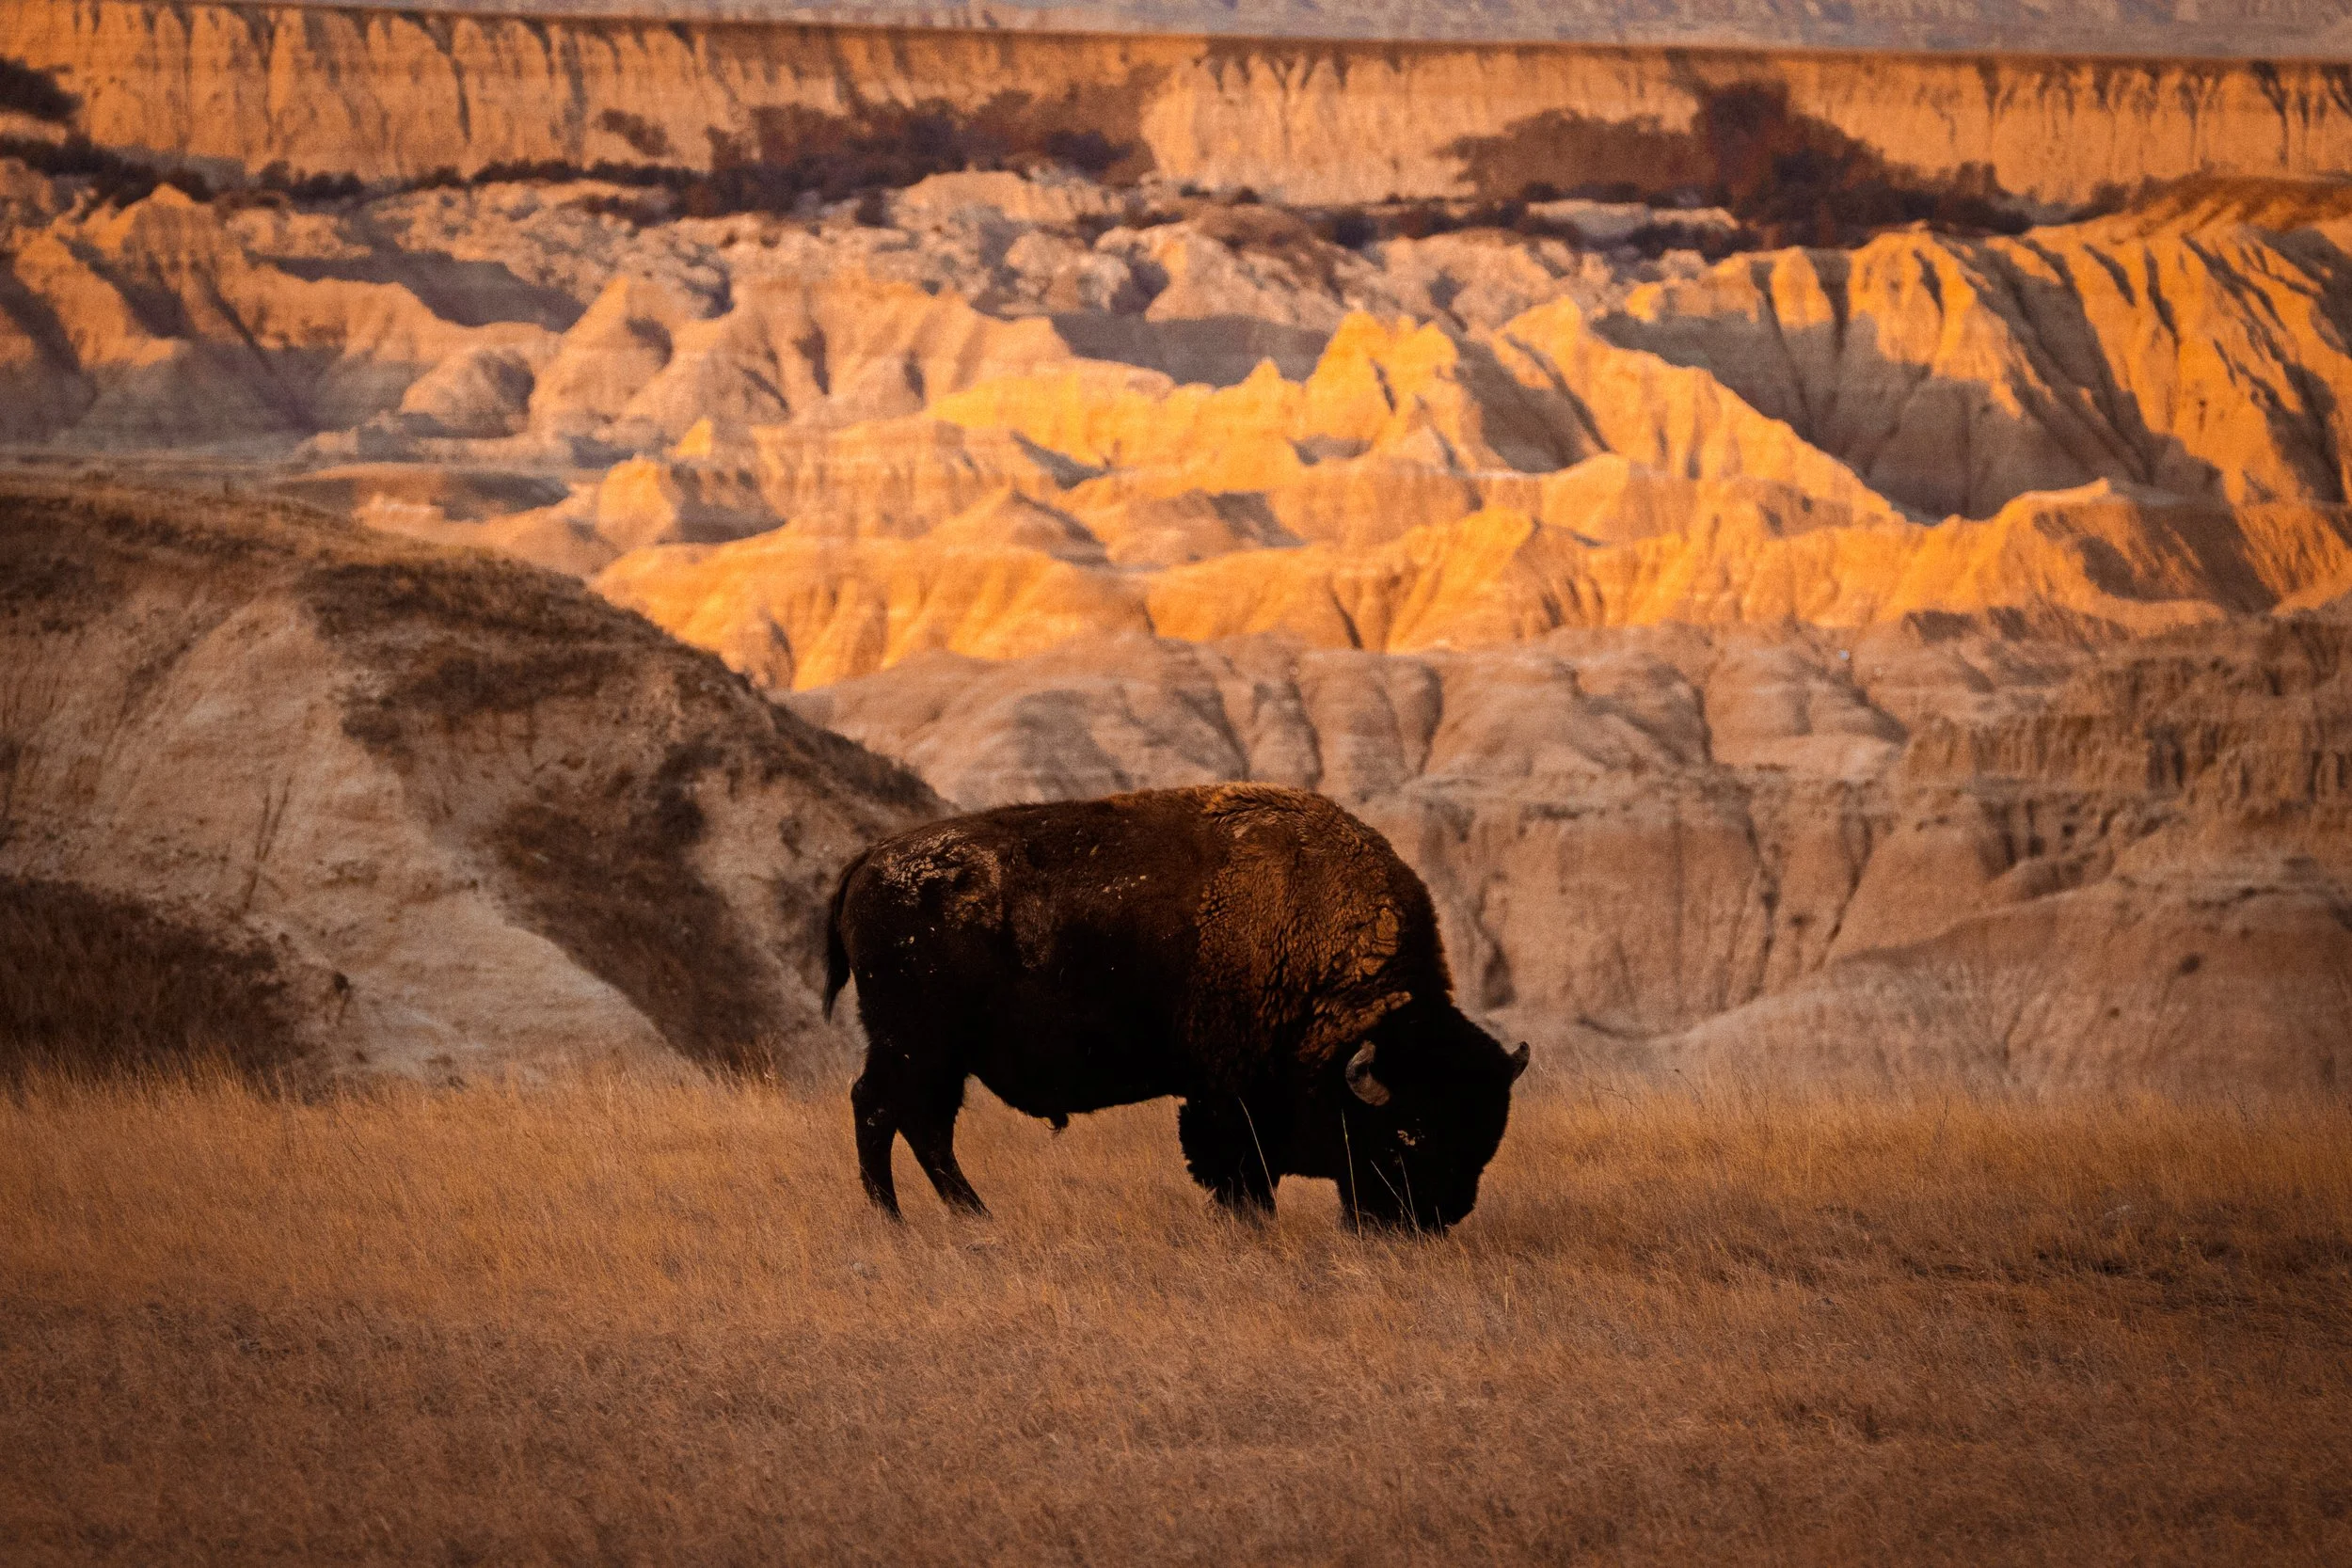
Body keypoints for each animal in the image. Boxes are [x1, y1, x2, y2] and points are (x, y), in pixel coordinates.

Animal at [823, 783, 1529, 1230]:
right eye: (1411, 1131)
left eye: (1487, 1134)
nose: (1436, 1216)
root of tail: (870, 859)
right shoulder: (1230, 1094)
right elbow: (1240, 1167)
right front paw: (1248, 1222)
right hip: (916, 1045)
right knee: (882, 1110)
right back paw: (898, 1219)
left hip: (936, 1057)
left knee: (921, 1126)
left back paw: (967, 1216)